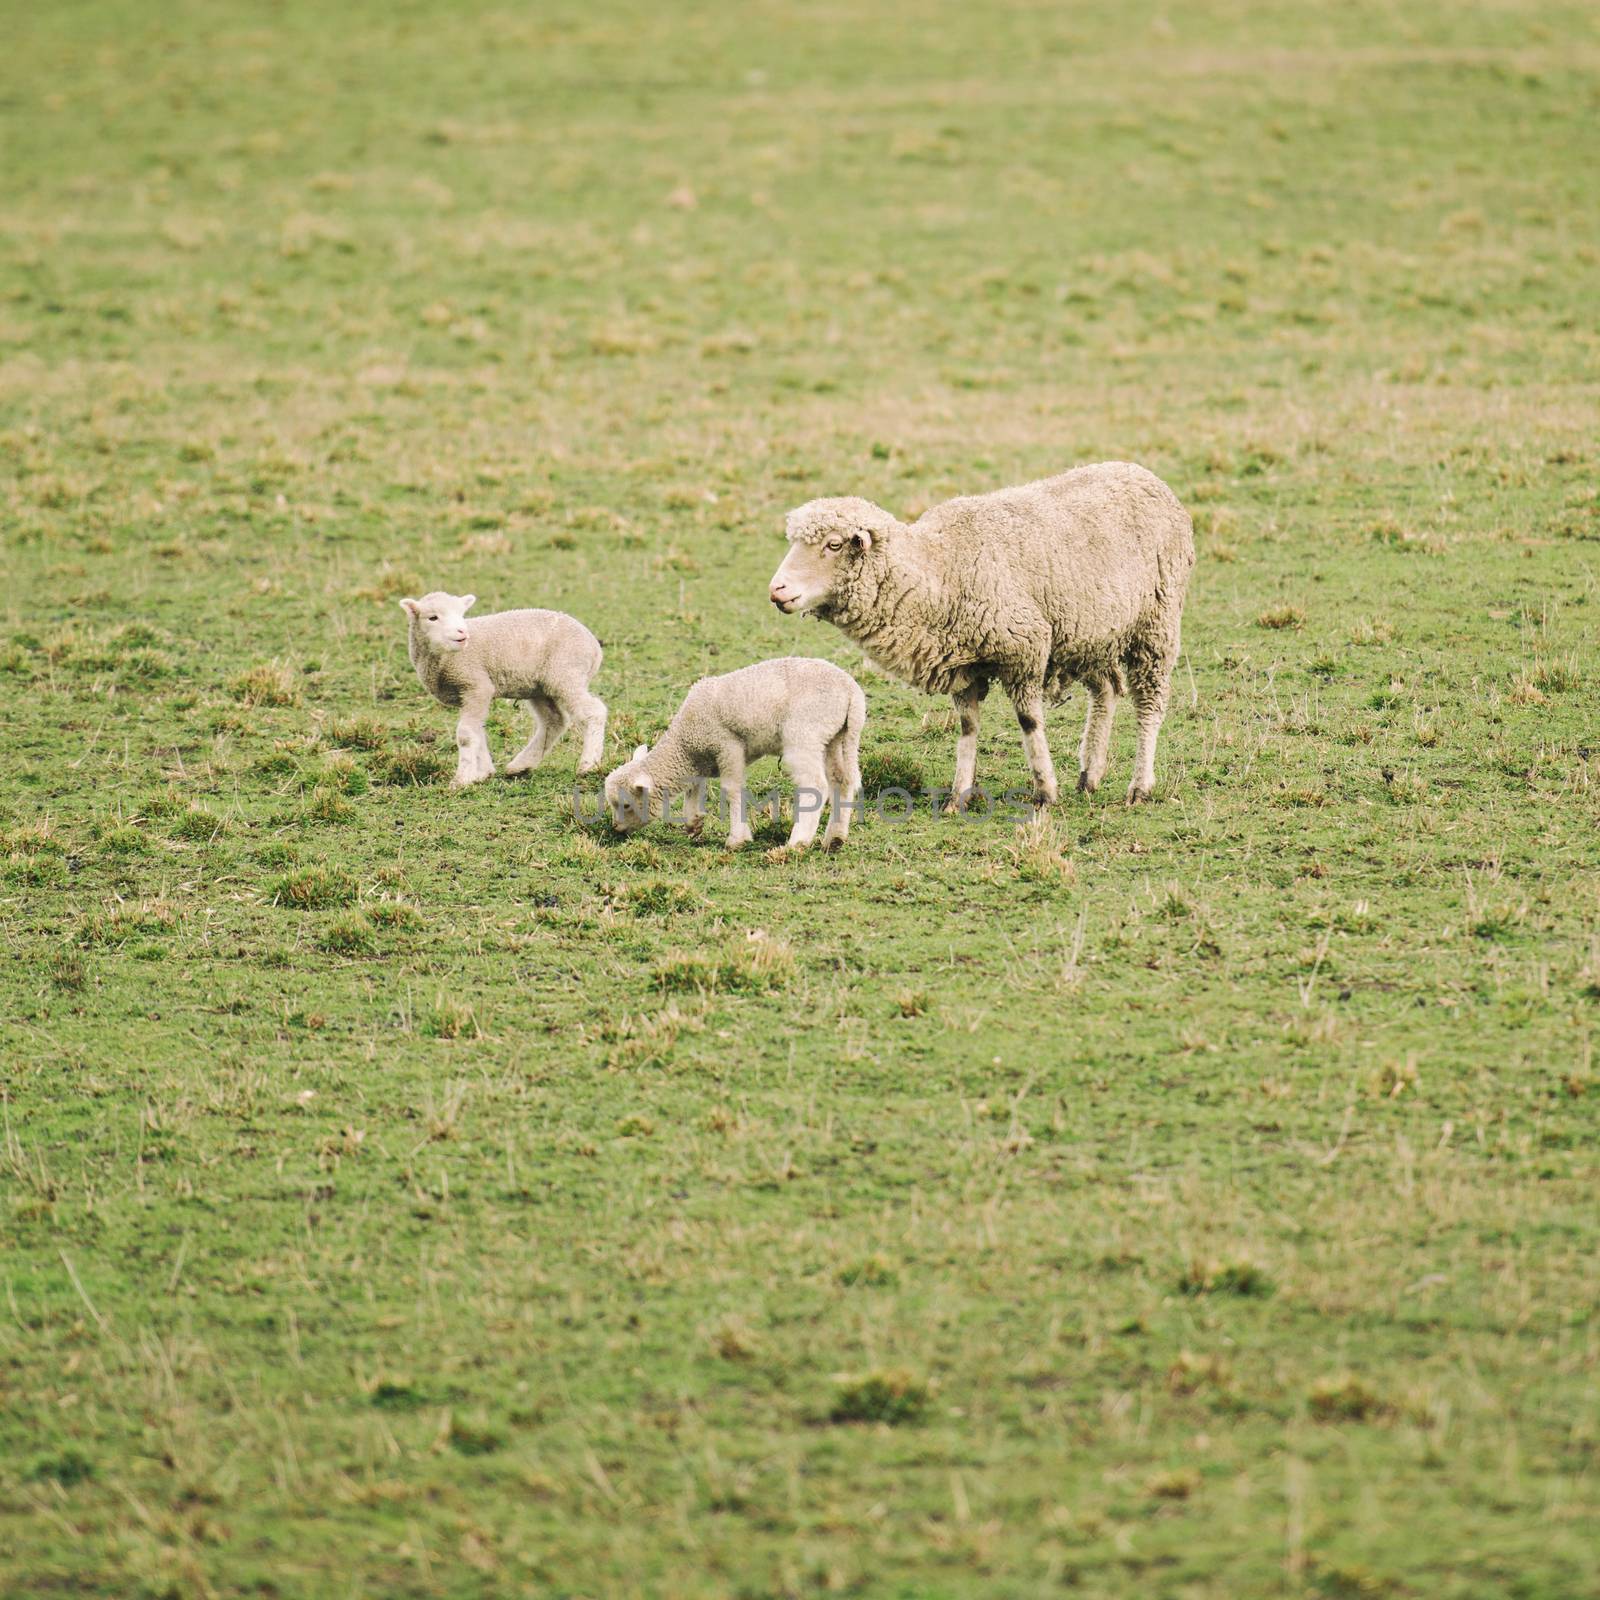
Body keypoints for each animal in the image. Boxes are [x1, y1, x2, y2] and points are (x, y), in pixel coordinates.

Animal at [398, 592, 604, 784]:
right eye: (432, 617)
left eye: (461, 614)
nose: (462, 632)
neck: (442, 658)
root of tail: (595, 647)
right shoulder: (469, 694)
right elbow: (477, 731)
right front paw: (483, 774)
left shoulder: (476, 685)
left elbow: (466, 734)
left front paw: (462, 779)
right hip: (538, 686)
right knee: (554, 721)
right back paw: (521, 765)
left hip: (566, 674)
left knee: (594, 711)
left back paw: (588, 765)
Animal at [601, 652, 876, 851]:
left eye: (625, 805)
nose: (616, 829)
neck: (684, 742)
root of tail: (851, 691)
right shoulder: (701, 756)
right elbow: (694, 787)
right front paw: (693, 822)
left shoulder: (728, 745)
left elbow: (732, 790)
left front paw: (737, 839)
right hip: (837, 737)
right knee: (843, 780)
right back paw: (835, 838)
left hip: (805, 734)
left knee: (815, 785)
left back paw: (798, 842)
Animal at [768, 464, 1196, 812]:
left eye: (833, 545)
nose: (777, 591)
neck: (941, 566)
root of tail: (1145, 475)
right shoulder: (964, 665)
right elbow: (968, 728)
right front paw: (958, 796)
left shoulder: (1026, 647)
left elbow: (1028, 721)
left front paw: (1045, 791)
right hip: (1091, 634)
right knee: (1106, 691)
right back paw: (1090, 774)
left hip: (1155, 624)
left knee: (1149, 705)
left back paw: (1139, 786)